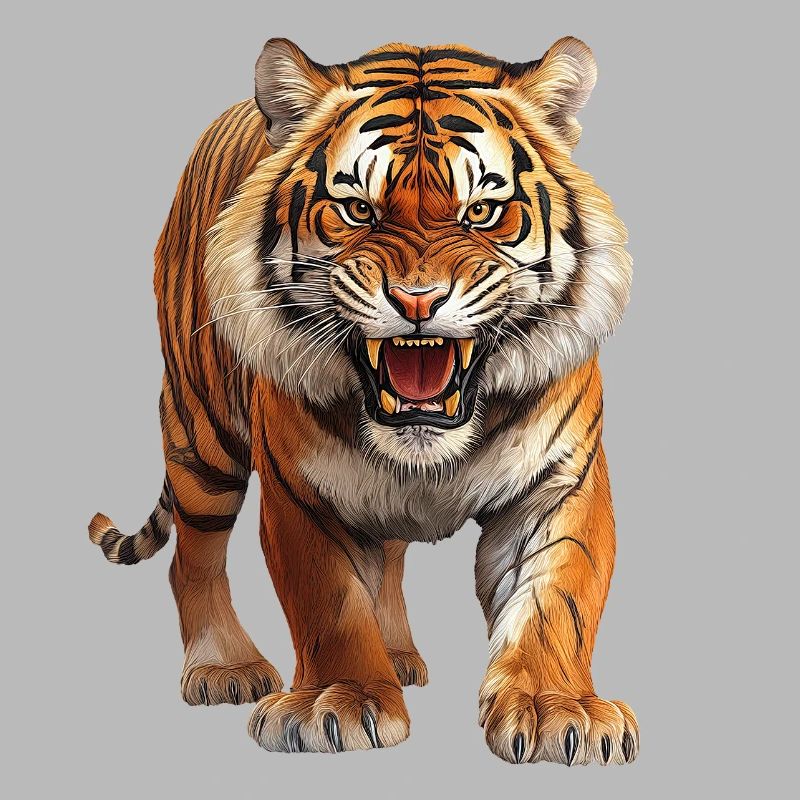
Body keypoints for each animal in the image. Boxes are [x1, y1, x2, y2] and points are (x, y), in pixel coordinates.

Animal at [88, 36, 637, 764]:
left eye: (482, 212)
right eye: (357, 210)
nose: (417, 301)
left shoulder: (561, 481)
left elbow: (559, 597)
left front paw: (557, 710)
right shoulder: (300, 489)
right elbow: (328, 599)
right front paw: (337, 702)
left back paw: (398, 656)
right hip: (202, 434)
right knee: (193, 555)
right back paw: (223, 668)